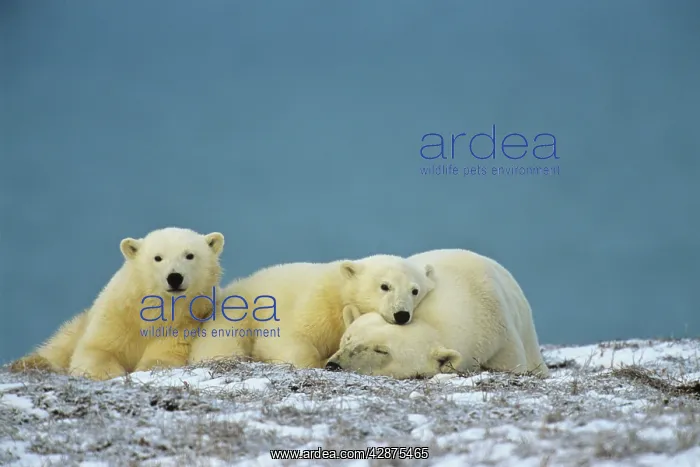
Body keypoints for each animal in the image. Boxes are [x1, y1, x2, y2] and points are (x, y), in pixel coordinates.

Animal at [9, 227, 225, 381]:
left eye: (190, 255)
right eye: (157, 257)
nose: (174, 277)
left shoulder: (182, 324)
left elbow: (163, 355)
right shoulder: (118, 315)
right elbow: (97, 349)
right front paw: (108, 373)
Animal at [188, 254, 435, 369]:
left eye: (415, 290)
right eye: (385, 286)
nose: (401, 314)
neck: (339, 292)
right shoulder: (314, 304)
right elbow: (288, 340)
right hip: (238, 311)